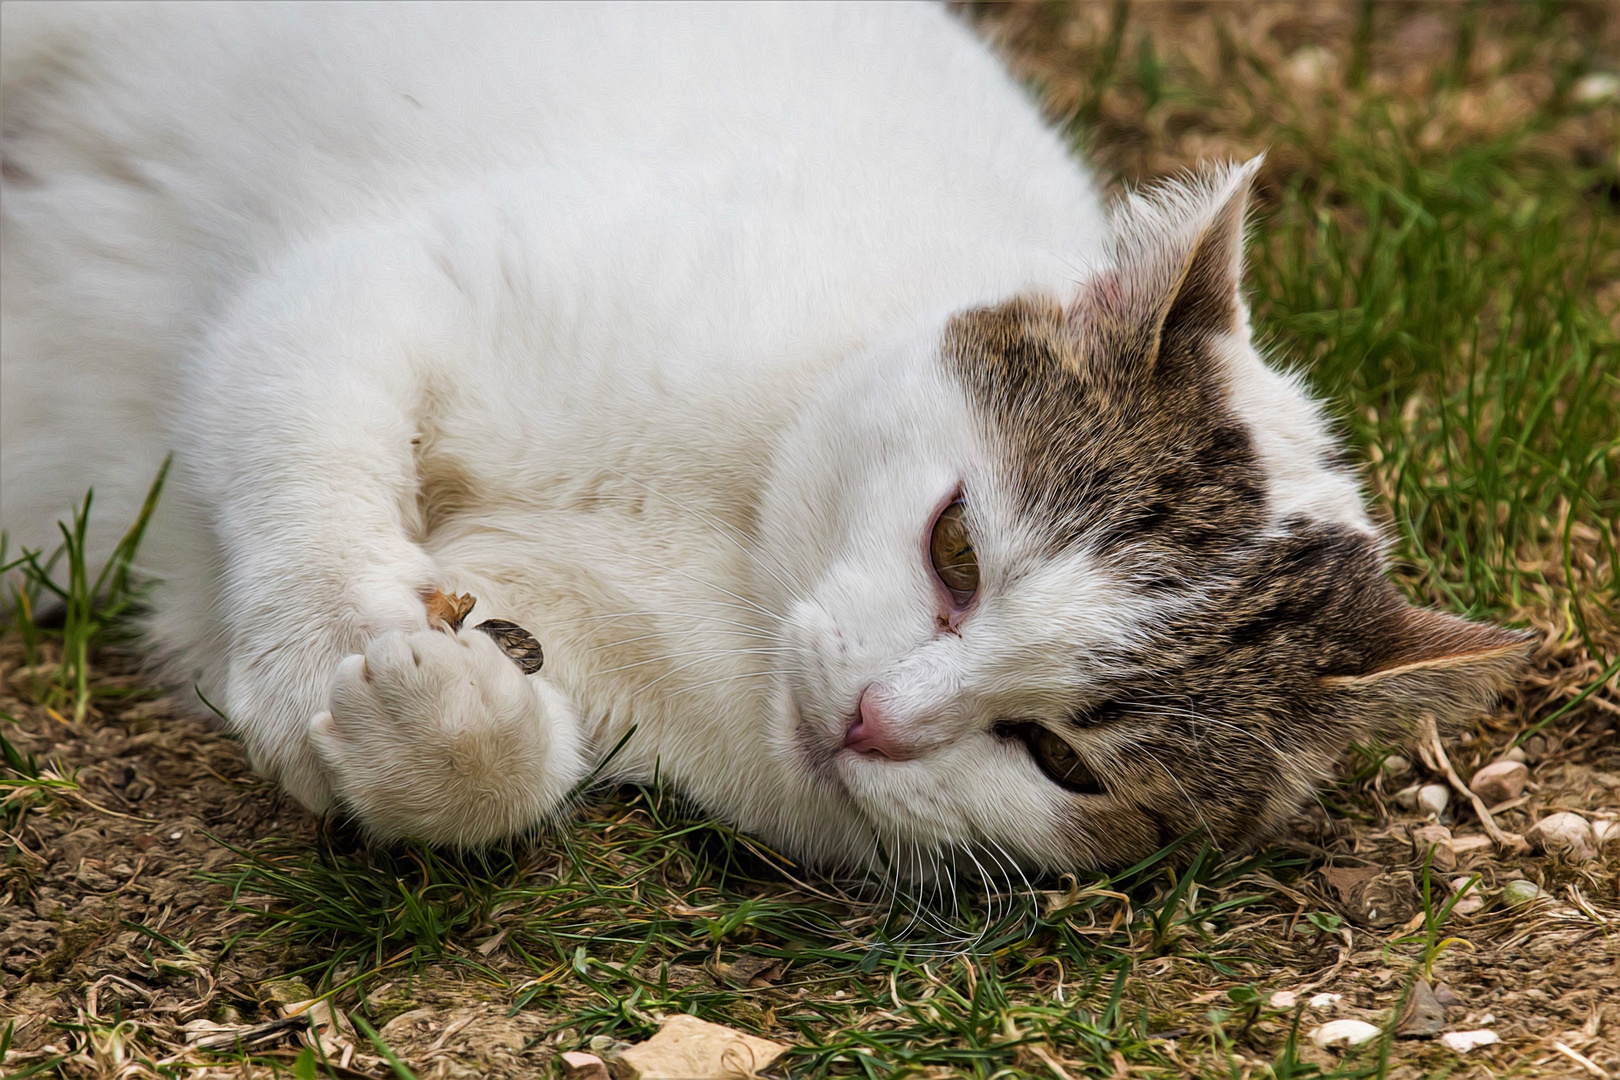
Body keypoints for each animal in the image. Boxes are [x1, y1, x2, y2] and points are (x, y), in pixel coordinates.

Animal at [0, 2, 1522, 880]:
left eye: (1063, 763)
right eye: (957, 549)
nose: (876, 721)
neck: (728, 549)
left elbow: (497, 775)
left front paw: (431, 724)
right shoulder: (383, 289)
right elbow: (308, 459)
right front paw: (326, 634)